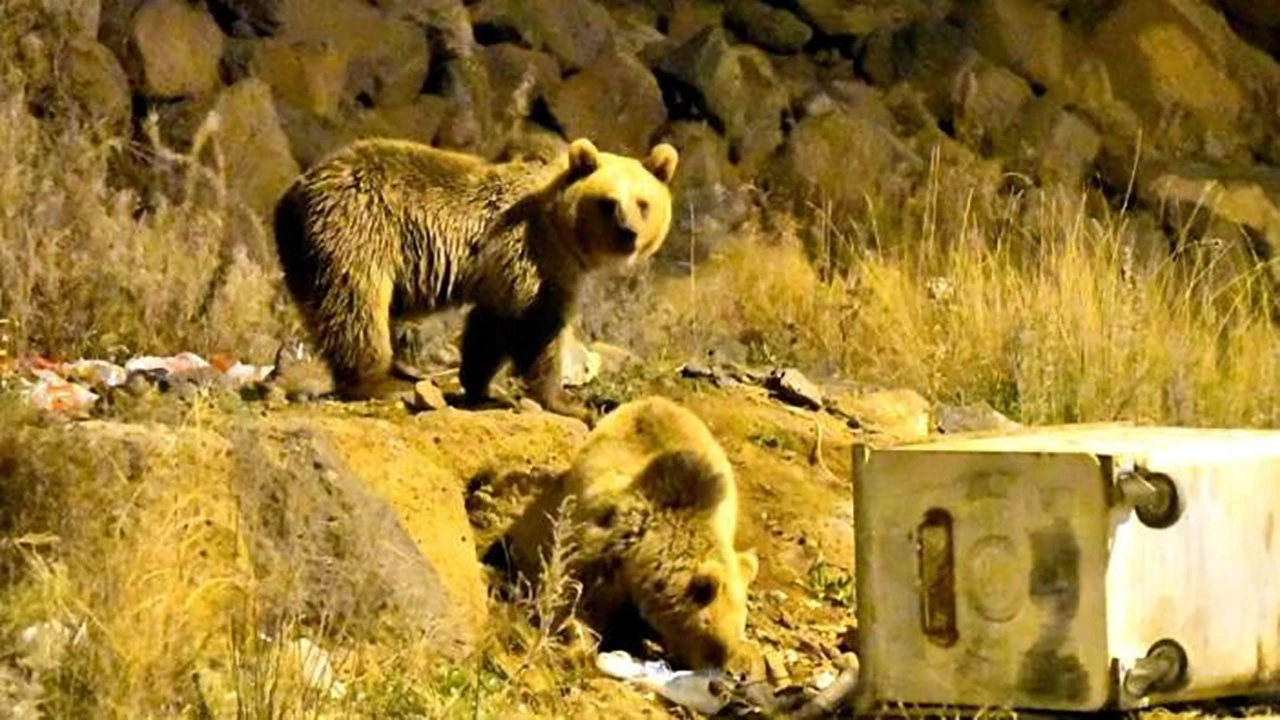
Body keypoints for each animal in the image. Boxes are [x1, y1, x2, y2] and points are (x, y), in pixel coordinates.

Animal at [271, 135, 680, 417]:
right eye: (608, 203)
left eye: (643, 203)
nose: (628, 233)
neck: (562, 229)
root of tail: (289, 197)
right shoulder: (533, 255)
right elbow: (537, 328)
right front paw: (567, 401)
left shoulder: (502, 271)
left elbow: (490, 327)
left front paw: (481, 384)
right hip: (357, 228)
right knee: (356, 305)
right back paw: (383, 379)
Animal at [491, 392, 757, 666]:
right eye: (714, 646)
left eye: (731, 643)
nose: (723, 667)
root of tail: (653, 399)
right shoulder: (608, 545)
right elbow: (579, 594)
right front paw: (576, 640)